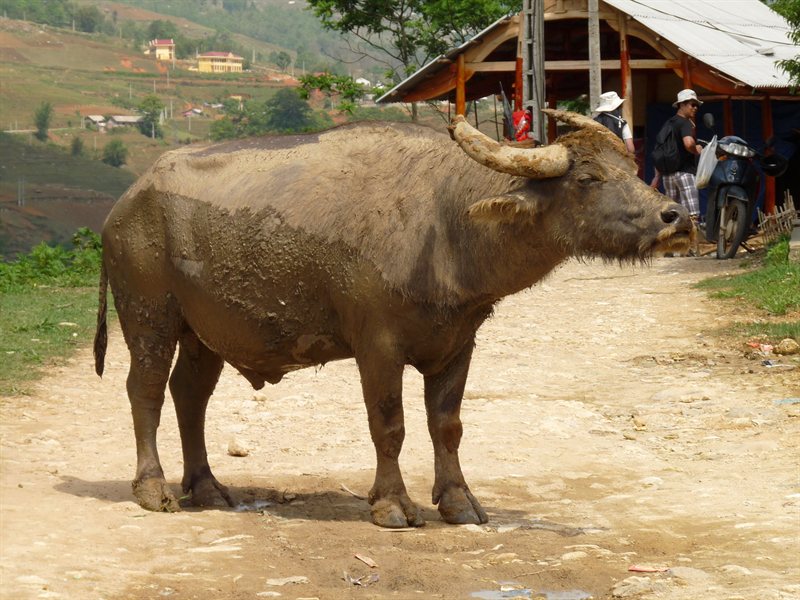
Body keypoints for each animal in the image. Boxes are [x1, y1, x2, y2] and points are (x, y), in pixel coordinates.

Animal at [94, 110, 692, 528]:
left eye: (630, 169)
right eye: (588, 179)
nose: (674, 217)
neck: (446, 222)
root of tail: (123, 204)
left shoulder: (458, 342)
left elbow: (447, 425)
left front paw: (459, 502)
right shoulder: (377, 345)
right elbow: (389, 424)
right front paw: (393, 504)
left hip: (205, 331)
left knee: (189, 395)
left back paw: (207, 487)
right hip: (149, 315)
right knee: (145, 390)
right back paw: (154, 488)